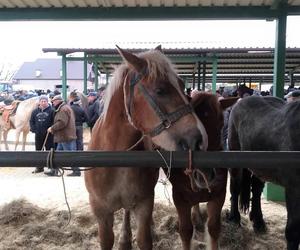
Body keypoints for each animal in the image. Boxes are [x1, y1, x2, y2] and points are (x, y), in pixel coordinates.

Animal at [83, 46, 207, 249]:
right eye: (160, 90)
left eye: (183, 87)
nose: (200, 139)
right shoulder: (101, 211)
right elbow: (107, 240)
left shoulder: (144, 203)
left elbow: (144, 239)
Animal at [164, 93, 237, 250]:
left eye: (221, 124)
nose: (205, 175)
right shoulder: (179, 199)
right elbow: (185, 231)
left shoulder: (218, 195)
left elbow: (214, 229)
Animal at [227, 95, 300, 250]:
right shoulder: (294, 188)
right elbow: (293, 230)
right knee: (235, 187)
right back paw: (234, 218)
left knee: (256, 190)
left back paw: (258, 221)